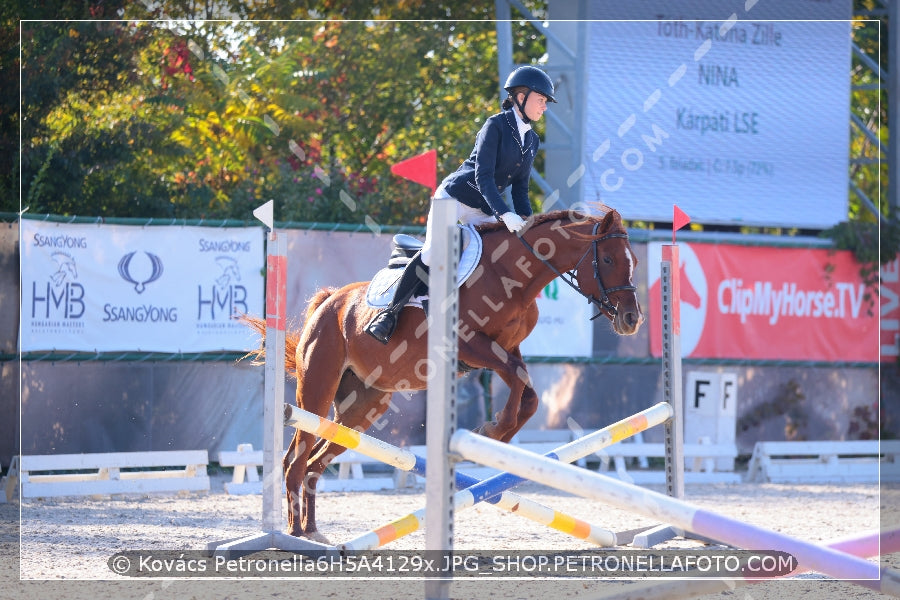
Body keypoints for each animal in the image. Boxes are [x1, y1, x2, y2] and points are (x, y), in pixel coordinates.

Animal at [243, 207, 644, 544]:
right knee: (295, 460)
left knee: (315, 462)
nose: (632, 320)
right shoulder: (471, 345)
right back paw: (294, 533)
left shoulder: (507, 348)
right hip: (316, 391)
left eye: (634, 261)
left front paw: (498, 432)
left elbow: (528, 392)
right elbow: (515, 379)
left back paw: (312, 531)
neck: (511, 275)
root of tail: (328, 301)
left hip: (362, 409)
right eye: (608, 259)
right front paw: (495, 430)